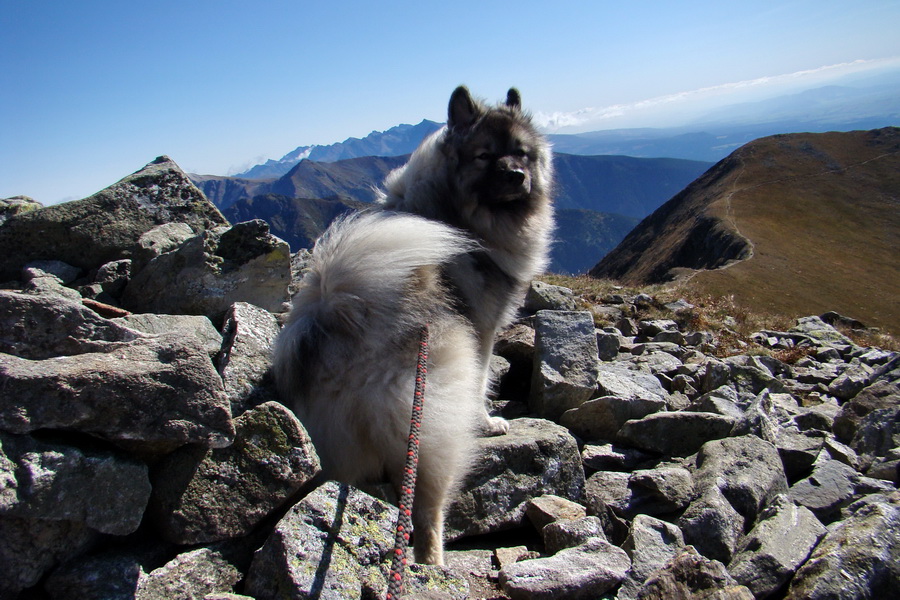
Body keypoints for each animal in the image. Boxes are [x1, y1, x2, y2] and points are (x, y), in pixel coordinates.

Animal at [272, 86, 556, 564]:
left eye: (521, 152)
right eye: (485, 156)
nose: (518, 176)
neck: (454, 213)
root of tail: (339, 317)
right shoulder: (482, 332)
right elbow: (482, 382)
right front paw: (488, 422)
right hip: (428, 425)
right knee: (425, 510)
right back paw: (434, 564)